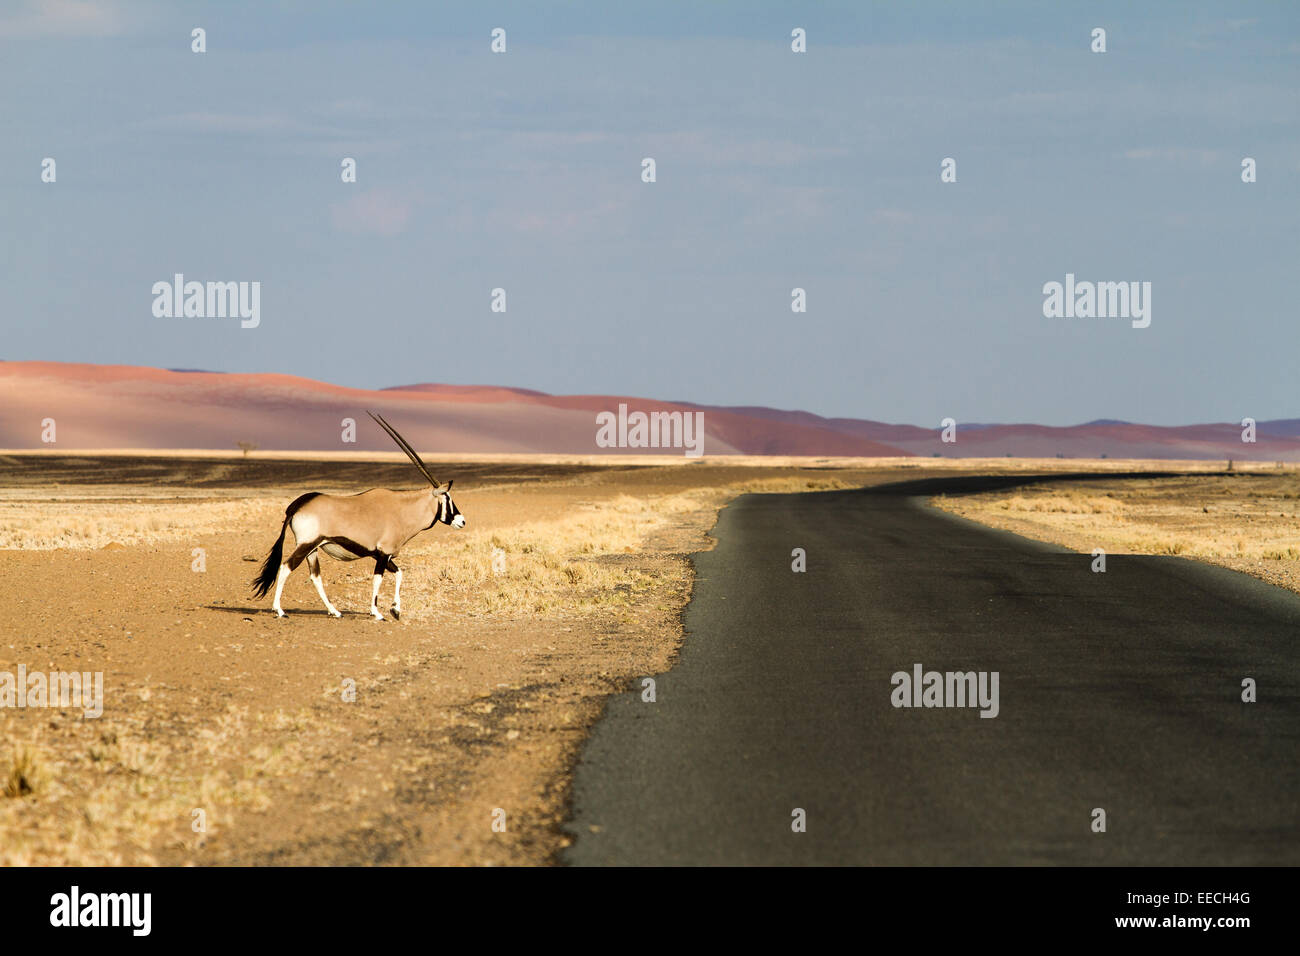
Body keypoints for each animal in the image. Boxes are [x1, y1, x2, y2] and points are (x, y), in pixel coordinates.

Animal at [246, 411, 462, 621]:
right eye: (448, 498)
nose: (462, 521)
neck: (402, 509)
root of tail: (296, 505)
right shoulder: (383, 554)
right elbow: (378, 580)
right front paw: (377, 613)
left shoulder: (381, 555)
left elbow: (400, 573)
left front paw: (396, 610)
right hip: (306, 545)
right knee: (286, 567)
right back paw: (279, 610)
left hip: (312, 549)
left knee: (315, 577)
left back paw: (334, 611)